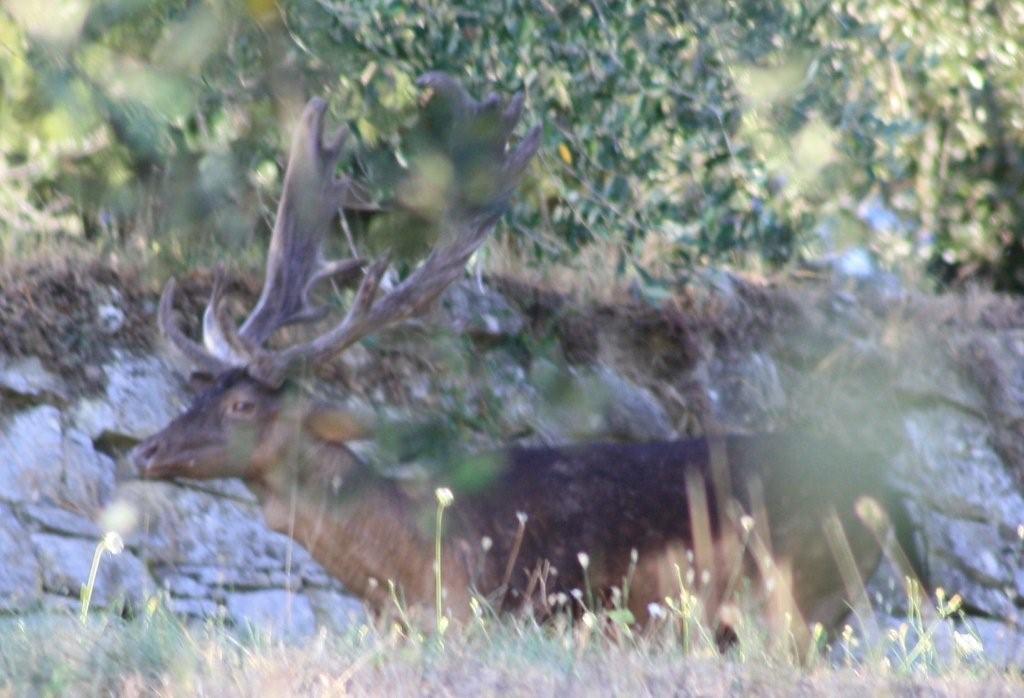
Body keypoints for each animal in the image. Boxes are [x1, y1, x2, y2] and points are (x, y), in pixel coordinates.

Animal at [132, 74, 925, 634]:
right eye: (197, 392)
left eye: (242, 403)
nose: (143, 451)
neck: (411, 564)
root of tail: (884, 496)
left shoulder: (500, 616)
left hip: (798, 600)